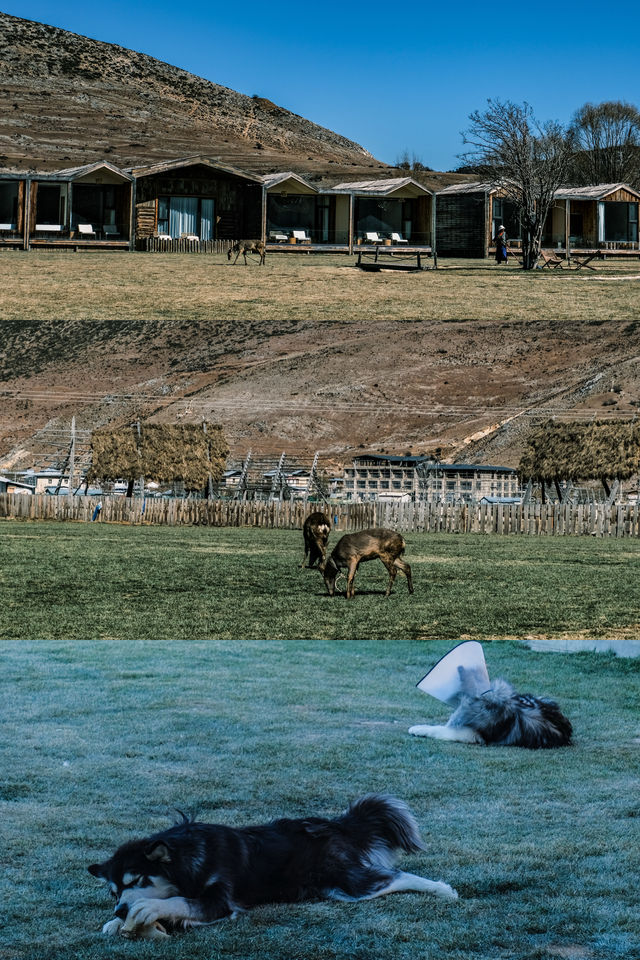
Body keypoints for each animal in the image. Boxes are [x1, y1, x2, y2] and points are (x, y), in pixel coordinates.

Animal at [91, 796, 460, 936]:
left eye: (138, 879)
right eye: (113, 892)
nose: (119, 909)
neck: (189, 855)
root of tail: (333, 824)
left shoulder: (220, 901)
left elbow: (177, 901)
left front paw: (145, 910)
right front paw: (115, 923)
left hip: (347, 884)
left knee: (396, 876)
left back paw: (442, 889)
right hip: (331, 887)